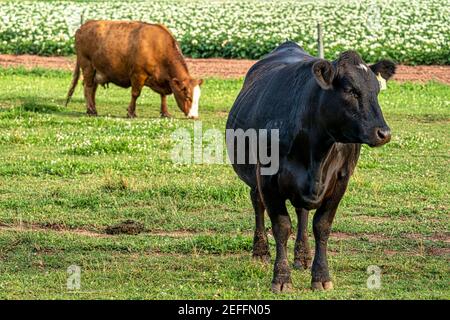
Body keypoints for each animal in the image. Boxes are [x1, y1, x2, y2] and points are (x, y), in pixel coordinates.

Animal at [64, 20, 202, 119]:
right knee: (87, 87)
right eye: (188, 96)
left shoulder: (163, 79)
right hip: (87, 65)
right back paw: (91, 110)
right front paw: (131, 112)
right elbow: (135, 94)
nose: (194, 116)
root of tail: (84, 26)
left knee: (92, 88)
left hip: (97, 70)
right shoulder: (138, 74)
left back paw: (92, 109)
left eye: (198, 97)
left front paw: (165, 113)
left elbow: (163, 96)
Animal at [225, 42, 394, 292]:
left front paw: (321, 276)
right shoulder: (267, 179)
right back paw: (260, 252)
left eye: (377, 91)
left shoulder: (341, 179)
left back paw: (303, 256)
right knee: (257, 203)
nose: (383, 133)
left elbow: (322, 225)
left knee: (302, 212)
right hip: (254, 177)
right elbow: (281, 226)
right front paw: (281, 278)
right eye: (351, 91)